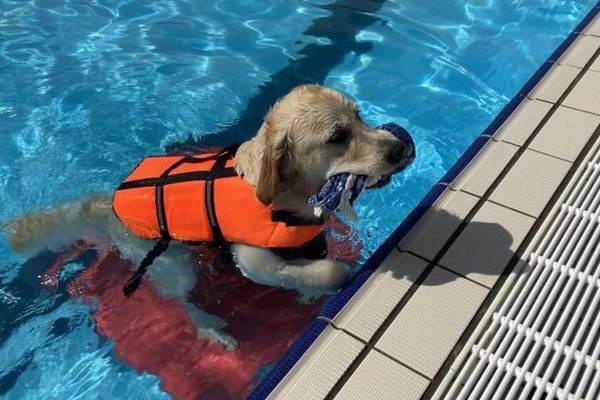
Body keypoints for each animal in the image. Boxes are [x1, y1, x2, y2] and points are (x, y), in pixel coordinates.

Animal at [2, 84, 414, 350]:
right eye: (337, 137)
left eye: (359, 117)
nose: (401, 148)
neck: (285, 197)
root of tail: (109, 205)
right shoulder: (252, 260)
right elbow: (326, 271)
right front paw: (331, 277)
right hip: (169, 262)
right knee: (182, 302)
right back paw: (211, 328)